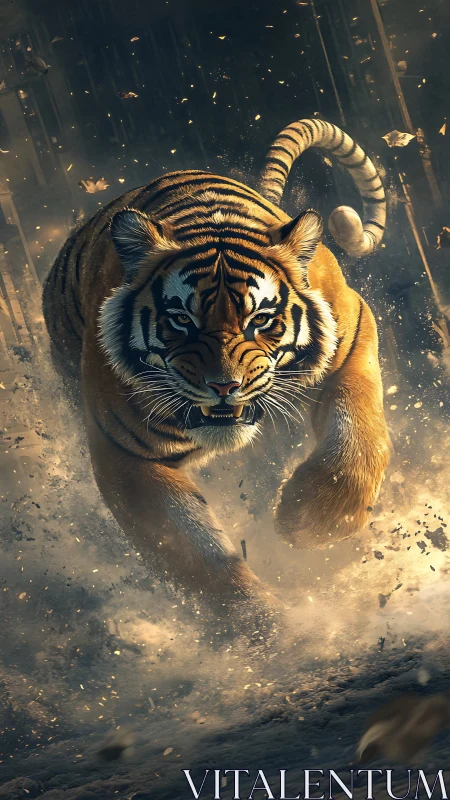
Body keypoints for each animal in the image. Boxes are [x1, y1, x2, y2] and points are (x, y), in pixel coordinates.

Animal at [43, 118, 391, 619]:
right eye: (181, 320)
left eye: (260, 319)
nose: (225, 386)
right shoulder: (123, 453)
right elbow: (197, 557)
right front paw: (269, 630)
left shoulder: (352, 332)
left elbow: (357, 438)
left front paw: (306, 524)